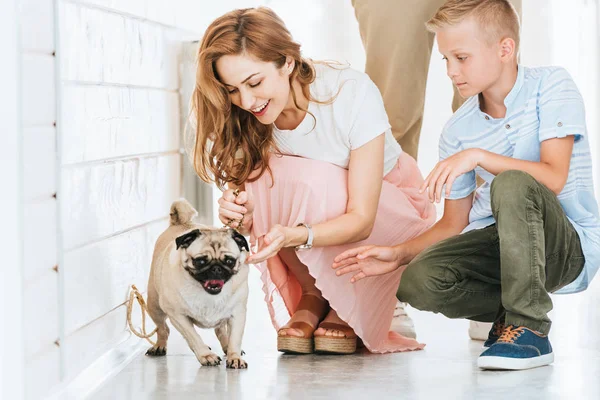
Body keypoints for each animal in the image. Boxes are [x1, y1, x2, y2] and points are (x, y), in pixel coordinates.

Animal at [144, 199, 250, 368]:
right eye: (200, 261)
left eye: (229, 261)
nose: (216, 269)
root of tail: (180, 222)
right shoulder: (178, 316)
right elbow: (193, 337)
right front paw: (206, 355)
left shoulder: (237, 313)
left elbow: (235, 338)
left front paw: (235, 357)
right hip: (154, 306)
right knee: (163, 329)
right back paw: (159, 346)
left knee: (221, 331)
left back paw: (227, 347)